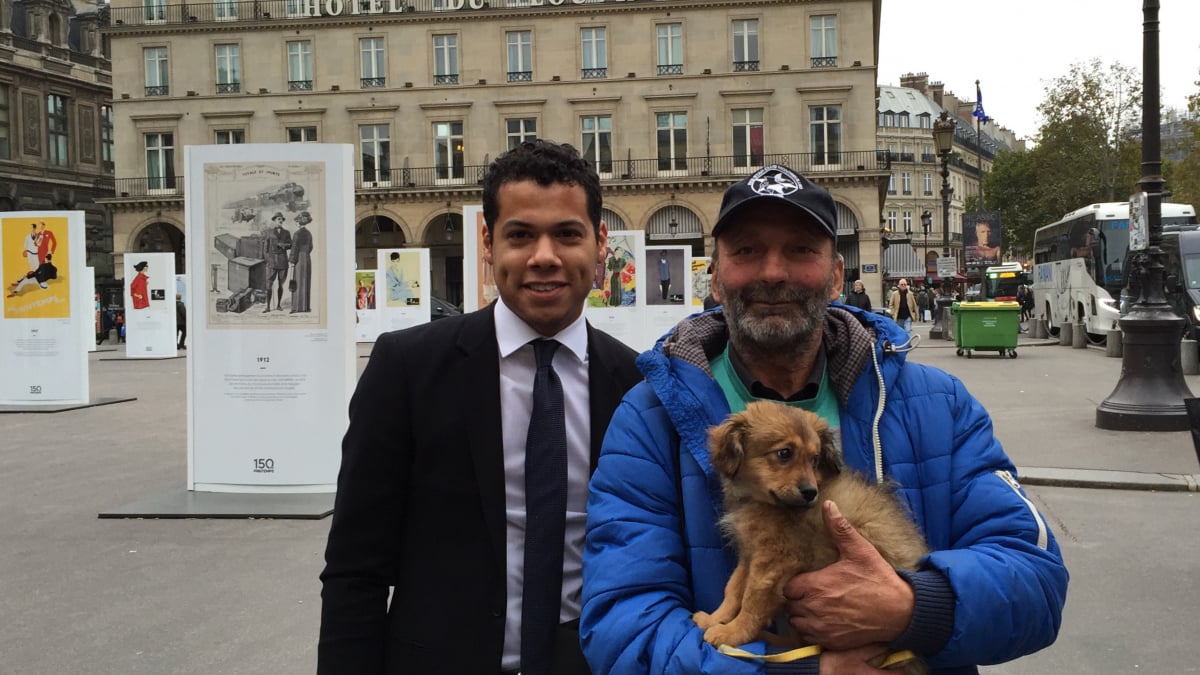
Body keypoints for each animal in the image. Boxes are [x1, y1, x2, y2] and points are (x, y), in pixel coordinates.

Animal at [696, 398, 926, 667]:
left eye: (814, 459)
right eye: (784, 453)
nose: (810, 493)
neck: (760, 502)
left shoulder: (775, 561)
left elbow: (752, 601)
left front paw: (732, 633)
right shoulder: (750, 554)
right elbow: (733, 589)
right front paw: (716, 619)